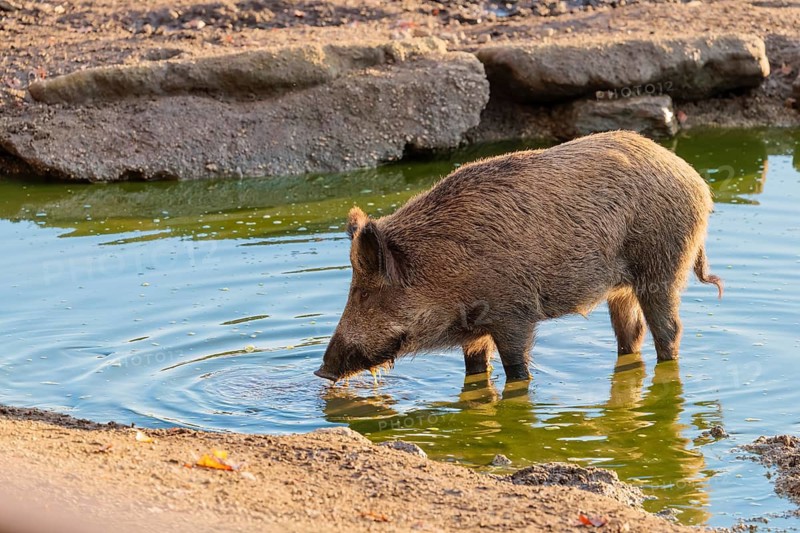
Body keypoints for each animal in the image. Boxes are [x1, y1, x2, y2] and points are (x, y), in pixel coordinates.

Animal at [314, 131, 723, 383]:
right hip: (621, 286)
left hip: (662, 266)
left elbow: (516, 369)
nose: (322, 370)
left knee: (669, 330)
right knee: (631, 332)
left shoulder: (514, 313)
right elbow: (475, 369)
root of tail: (698, 183)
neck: (441, 269)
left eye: (365, 292)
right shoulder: (476, 330)